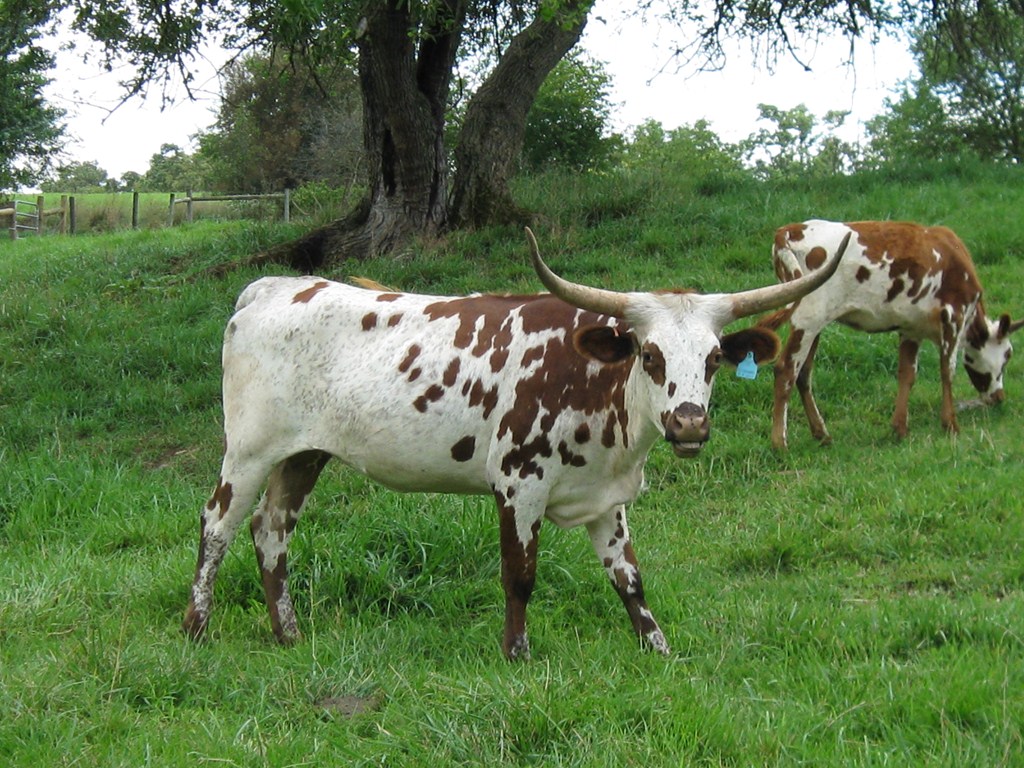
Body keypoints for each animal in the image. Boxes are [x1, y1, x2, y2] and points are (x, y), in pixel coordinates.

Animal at [182, 228, 847, 660]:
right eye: (650, 356)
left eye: (712, 360)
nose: (689, 425)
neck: (592, 380)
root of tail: (270, 289)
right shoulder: (518, 484)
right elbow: (520, 575)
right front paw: (517, 654)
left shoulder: (607, 499)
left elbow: (630, 578)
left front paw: (657, 650)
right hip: (249, 451)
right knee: (217, 524)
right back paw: (195, 628)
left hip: (303, 454)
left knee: (271, 529)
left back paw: (288, 635)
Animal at [762, 219, 1022, 450]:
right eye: (1007, 355)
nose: (999, 397)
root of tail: (788, 230)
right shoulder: (953, 316)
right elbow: (948, 371)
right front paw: (950, 425)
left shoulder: (911, 329)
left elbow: (907, 374)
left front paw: (900, 428)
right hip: (808, 316)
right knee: (786, 370)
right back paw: (780, 444)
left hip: (813, 321)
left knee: (803, 373)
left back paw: (822, 434)